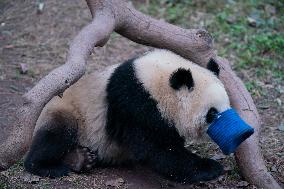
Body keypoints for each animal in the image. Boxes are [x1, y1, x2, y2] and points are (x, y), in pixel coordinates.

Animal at [23, 48, 231, 183]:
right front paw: (210, 167)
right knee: (56, 134)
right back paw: (47, 165)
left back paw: (80, 159)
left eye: (228, 105)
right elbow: (158, 149)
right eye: (212, 113)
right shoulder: (135, 104)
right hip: (67, 111)